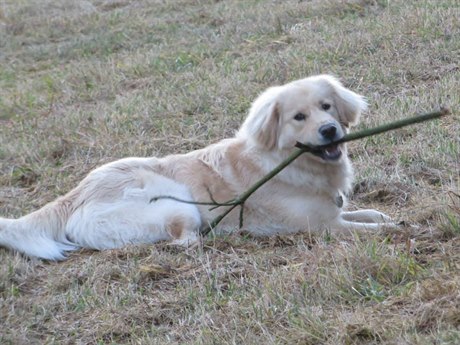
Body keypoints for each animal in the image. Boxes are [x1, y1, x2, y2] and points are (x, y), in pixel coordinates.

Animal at [0, 74, 396, 258]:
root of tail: (76, 194)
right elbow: (369, 230)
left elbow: (369, 214)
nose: (329, 130)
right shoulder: (323, 226)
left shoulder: (333, 210)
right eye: (299, 117)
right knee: (183, 242)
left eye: (326, 106)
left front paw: (386, 217)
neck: (290, 164)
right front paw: (397, 230)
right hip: (177, 203)